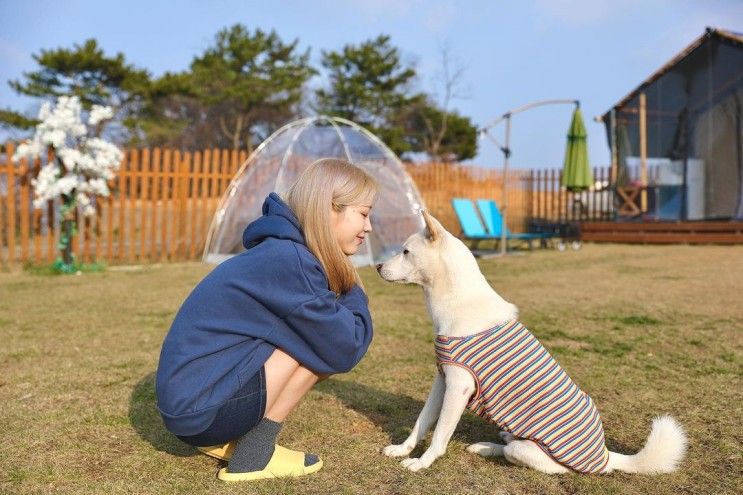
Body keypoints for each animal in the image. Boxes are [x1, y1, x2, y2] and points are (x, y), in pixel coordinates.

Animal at [380, 211, 688, 474]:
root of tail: (605, 456)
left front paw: (421, 463)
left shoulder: (459, 387)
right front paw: (402, 449)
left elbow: (440, 435)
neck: (459, 302)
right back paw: (491, 441)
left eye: (406, 251)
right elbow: (421, 421)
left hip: (529, 451)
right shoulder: (443, 380)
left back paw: (490, 447)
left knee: (533, 459)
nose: (378, 266)